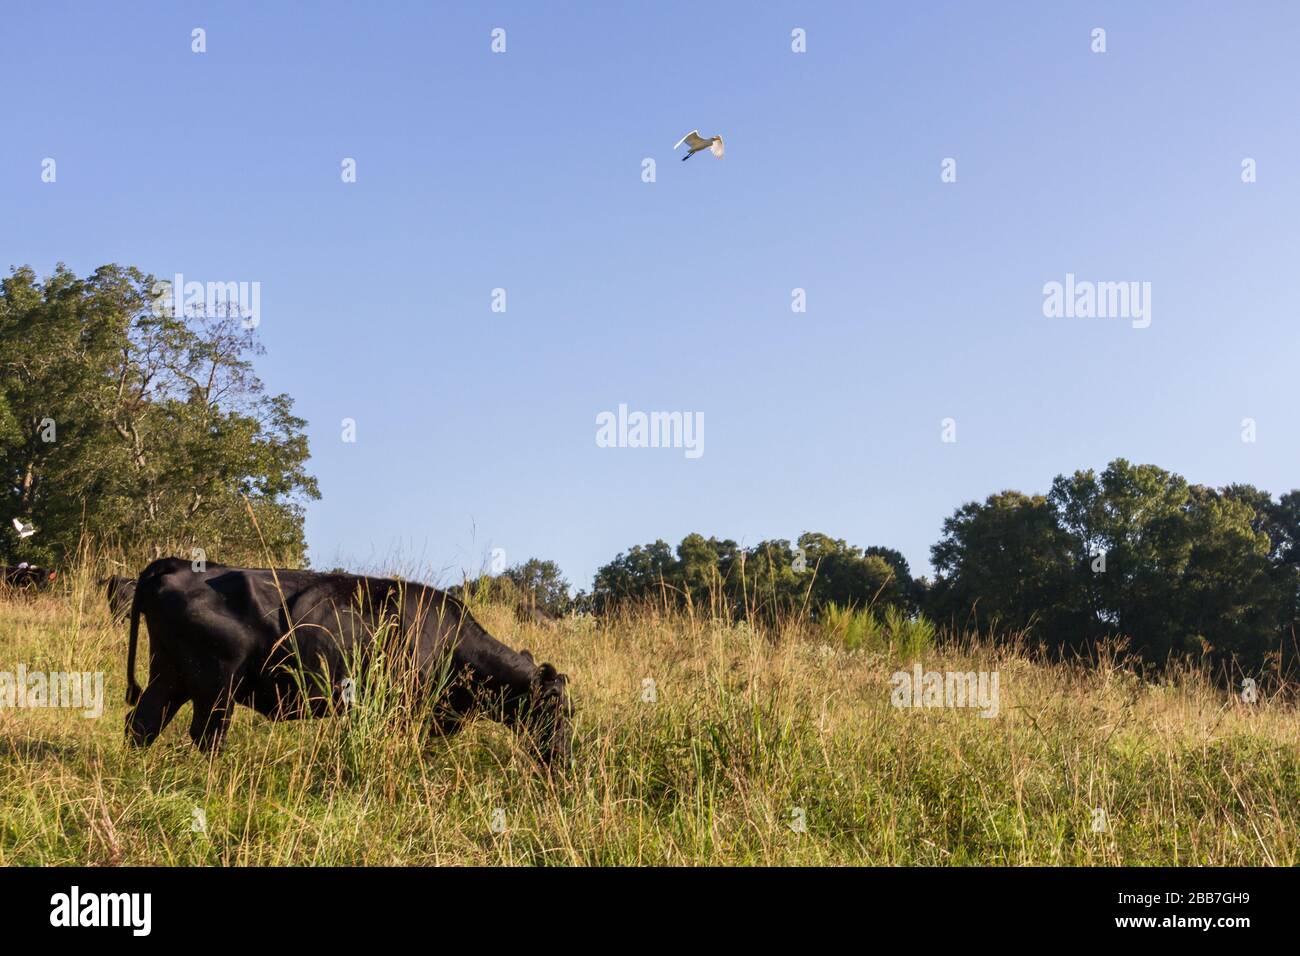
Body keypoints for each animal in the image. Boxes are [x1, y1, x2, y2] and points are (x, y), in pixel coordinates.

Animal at [125, 556, 574, 764]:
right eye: (557, 712)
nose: (565, 759)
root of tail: (182, 566)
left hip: (170, 676)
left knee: (142, 724)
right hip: (216, 685)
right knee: (206, 736)